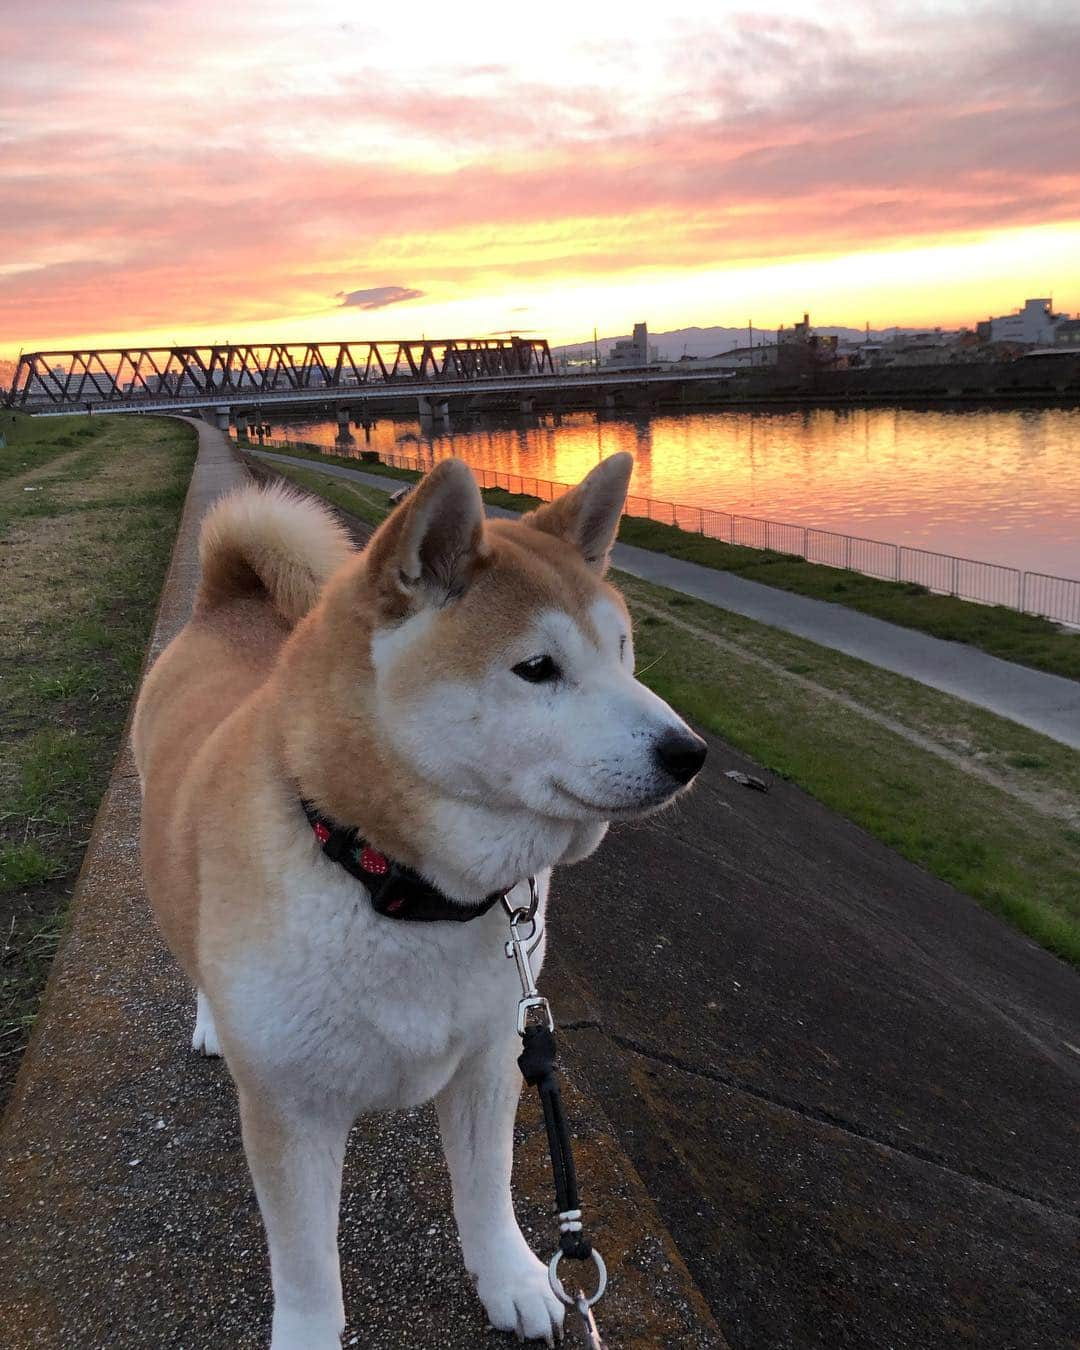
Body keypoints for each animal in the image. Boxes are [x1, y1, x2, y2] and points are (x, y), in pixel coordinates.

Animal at [130, 456, 707, 1350]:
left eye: (622, 652)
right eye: (537, 668)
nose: (691, 753)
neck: (400, 885)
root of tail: (226, 603)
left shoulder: (492, 1058)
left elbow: (487, 1191)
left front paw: (512, 1280)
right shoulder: (291, 1110)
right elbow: (308, 1272)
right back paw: (209, 1020)